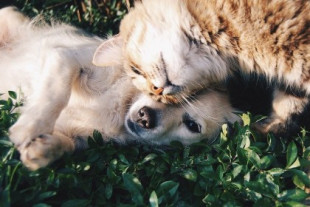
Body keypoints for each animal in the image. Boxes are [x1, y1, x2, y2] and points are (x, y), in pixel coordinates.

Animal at [0, 7, 240, 171]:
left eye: (192, 125)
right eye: (156, 90)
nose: (145, 117)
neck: (120, 107)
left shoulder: (82, 138)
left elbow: (67, 145)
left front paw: (42, 149)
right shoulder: (66, 57)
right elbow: (55, 93)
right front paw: (30, 127)